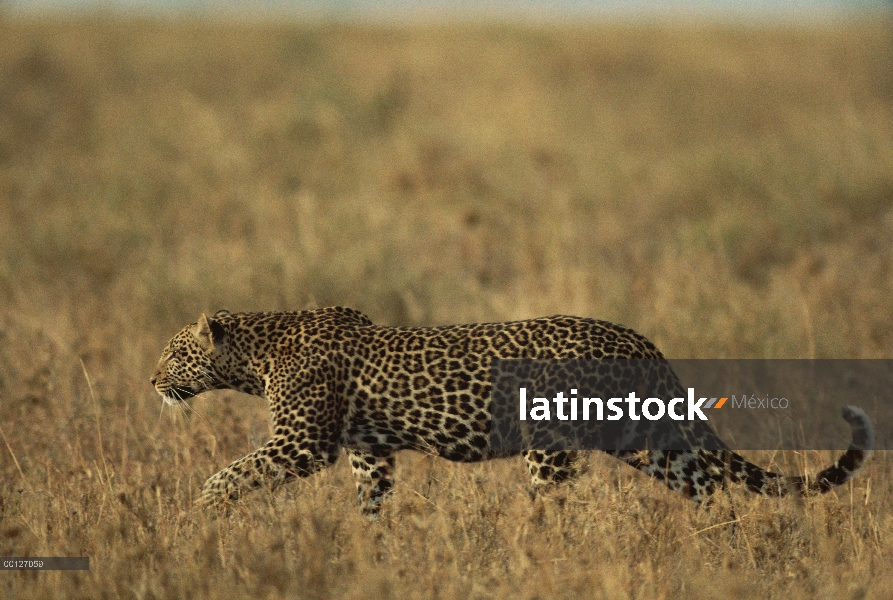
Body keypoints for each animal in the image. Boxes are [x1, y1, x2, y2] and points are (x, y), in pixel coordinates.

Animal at [148, 310, 872, 516]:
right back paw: (717, 543)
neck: (256, 353)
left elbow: (230, 473)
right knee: (706, 481)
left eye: (175, 353)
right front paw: (372, 547)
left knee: (555, 506)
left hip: (552, 444)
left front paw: (201, 515)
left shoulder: (304, 444)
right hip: (643, 436)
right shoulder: (367, 452)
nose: (152, 380)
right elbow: (371, 501)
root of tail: (637, 340)